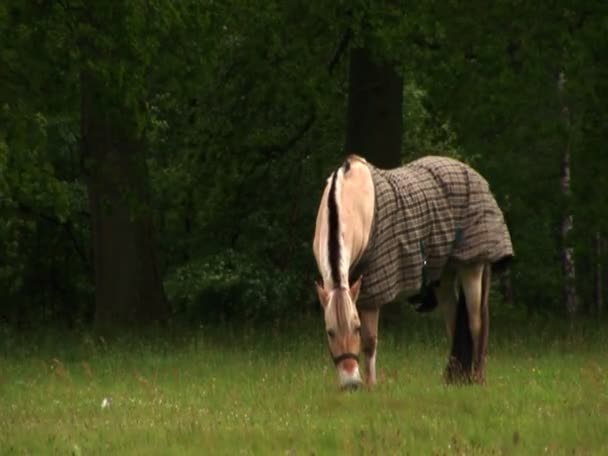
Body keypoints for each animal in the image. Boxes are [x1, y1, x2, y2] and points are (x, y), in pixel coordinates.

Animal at [314, 154, 512, 388]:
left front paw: (371, 386)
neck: (351, 205)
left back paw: (477, 379)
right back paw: (455, 379)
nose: (351, 383)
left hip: (472, 268)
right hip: (444, 279)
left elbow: (370, 342)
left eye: (356, 328)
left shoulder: (374, 291)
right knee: (454, 323)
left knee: (476, 325)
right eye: (330, 332)